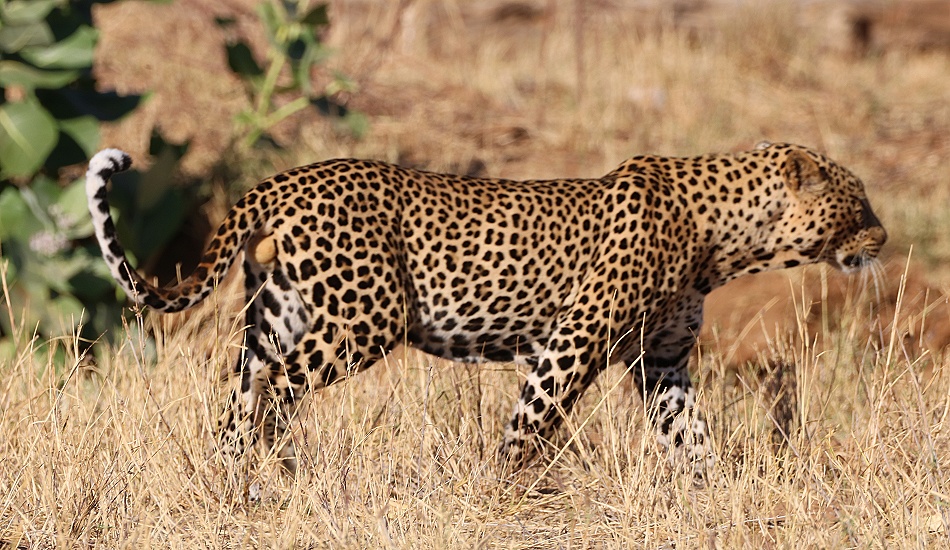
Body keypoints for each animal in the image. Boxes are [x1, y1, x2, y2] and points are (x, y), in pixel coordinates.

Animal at [85, 141, 886, 491]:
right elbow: (532, 423)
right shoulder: (575, 340)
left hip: (276, 312)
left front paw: (712, 494)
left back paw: (232, 476)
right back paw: (267, 471)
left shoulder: (660, 359)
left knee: (242, 392)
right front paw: (499, 491)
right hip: (366, 317)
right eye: (858, 202)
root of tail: (281, 180)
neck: (723, 240)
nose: (882, 237)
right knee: (277, 387)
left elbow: (690, 433)